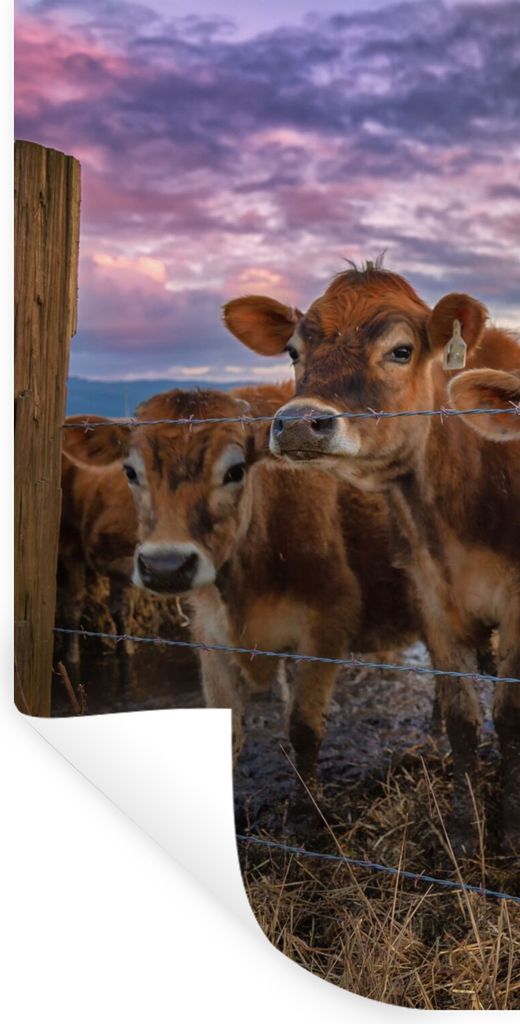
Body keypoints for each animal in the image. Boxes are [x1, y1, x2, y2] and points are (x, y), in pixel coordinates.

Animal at [222, 268, 520, 854]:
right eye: (293, 351)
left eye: (401, 351)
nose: (298, 424)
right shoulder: (431, 595)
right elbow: (463, 720)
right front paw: (465, 830)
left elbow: (513, 716)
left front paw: (513, 830)